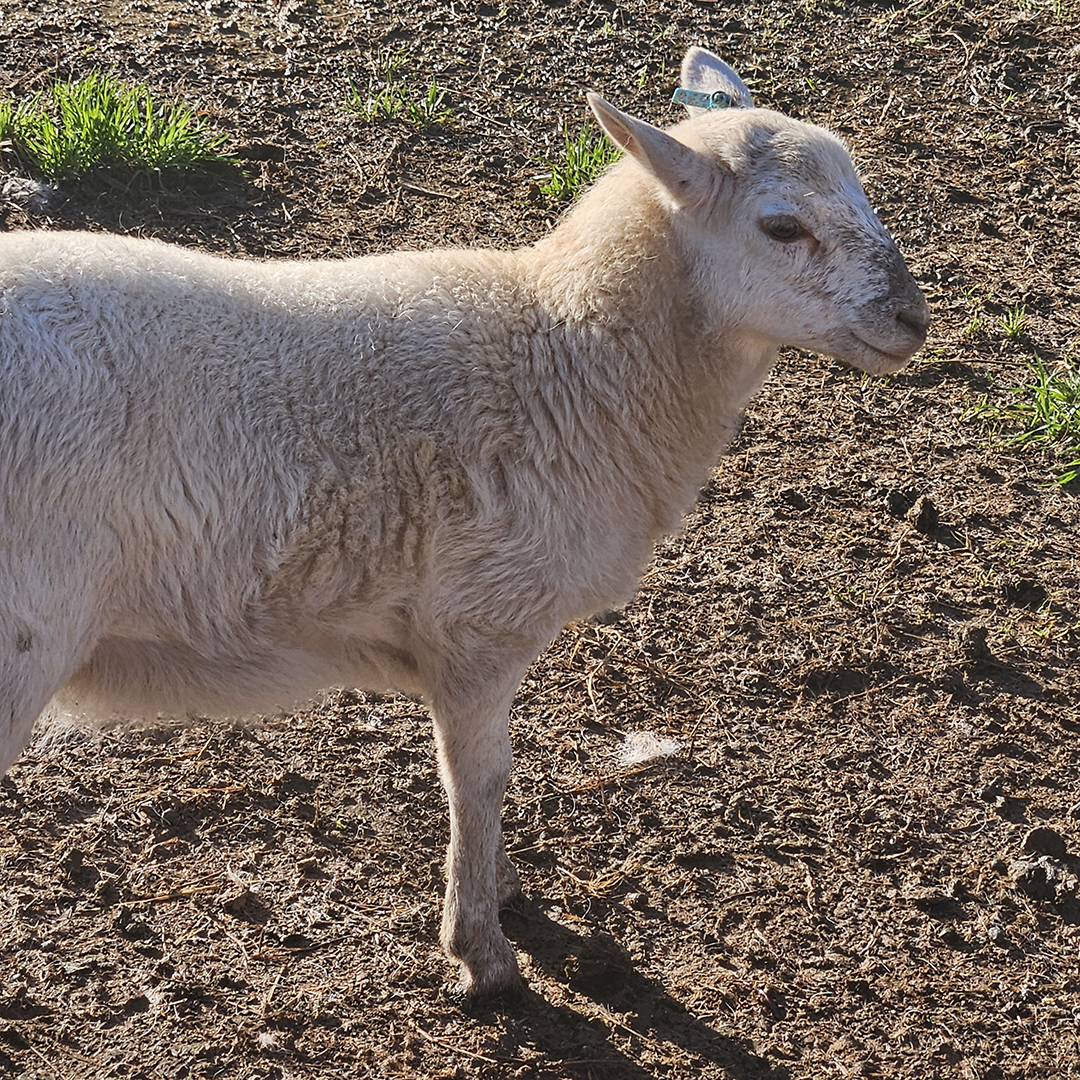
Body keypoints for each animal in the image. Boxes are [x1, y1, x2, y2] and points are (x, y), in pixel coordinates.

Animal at [0, 48, 928, 993]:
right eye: (781, 227)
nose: (913, 319)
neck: (571, 358)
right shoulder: (480, 622)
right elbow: (479, 779)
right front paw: (480, 945)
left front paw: (502, 890)